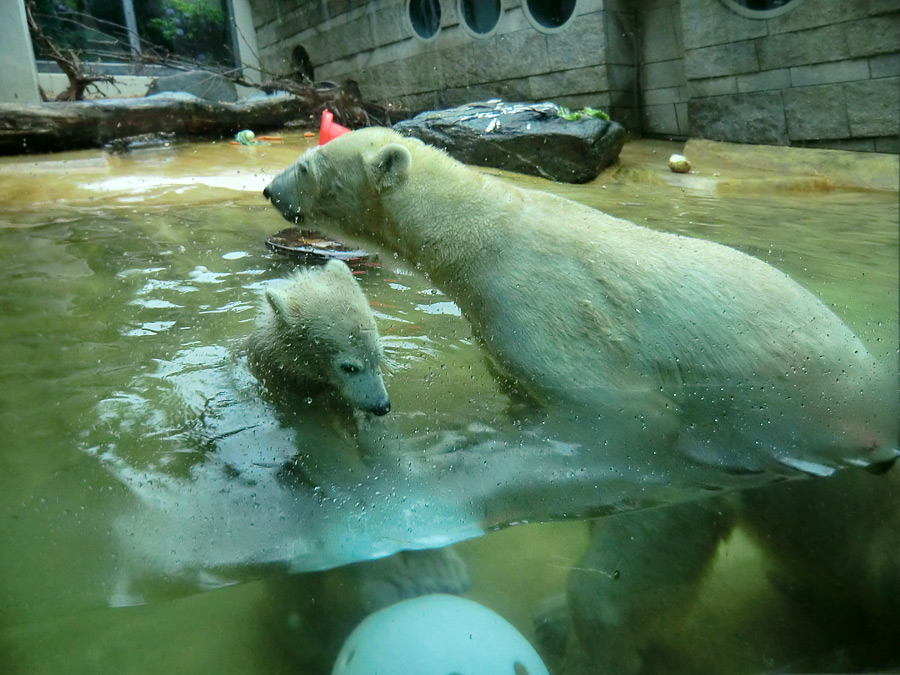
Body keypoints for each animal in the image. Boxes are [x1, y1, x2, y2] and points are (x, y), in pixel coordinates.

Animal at [264, 127, 896, 476]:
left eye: (307, 164)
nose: (269, 188)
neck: (481, 236)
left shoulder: (539, 307)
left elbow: (615, 410)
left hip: (808, 399)